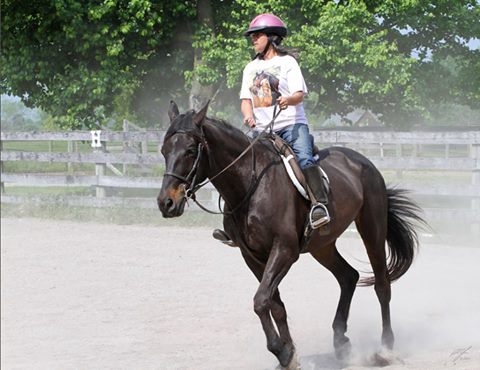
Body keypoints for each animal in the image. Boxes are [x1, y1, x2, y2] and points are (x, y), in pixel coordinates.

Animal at [158, 100, 424, 368]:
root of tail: (364, 162)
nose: (166, 203)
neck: (252, 184)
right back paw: (341, 343)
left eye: (190, 150)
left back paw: (385, 349)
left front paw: (282, 351)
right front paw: (288, 353)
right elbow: (273, 304)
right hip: (322, 245)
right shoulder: (252, 256)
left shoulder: (284, 250)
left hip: (372, 228)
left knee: (382, 285)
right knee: (348, 276)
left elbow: (260, 301)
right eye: (163, 150)